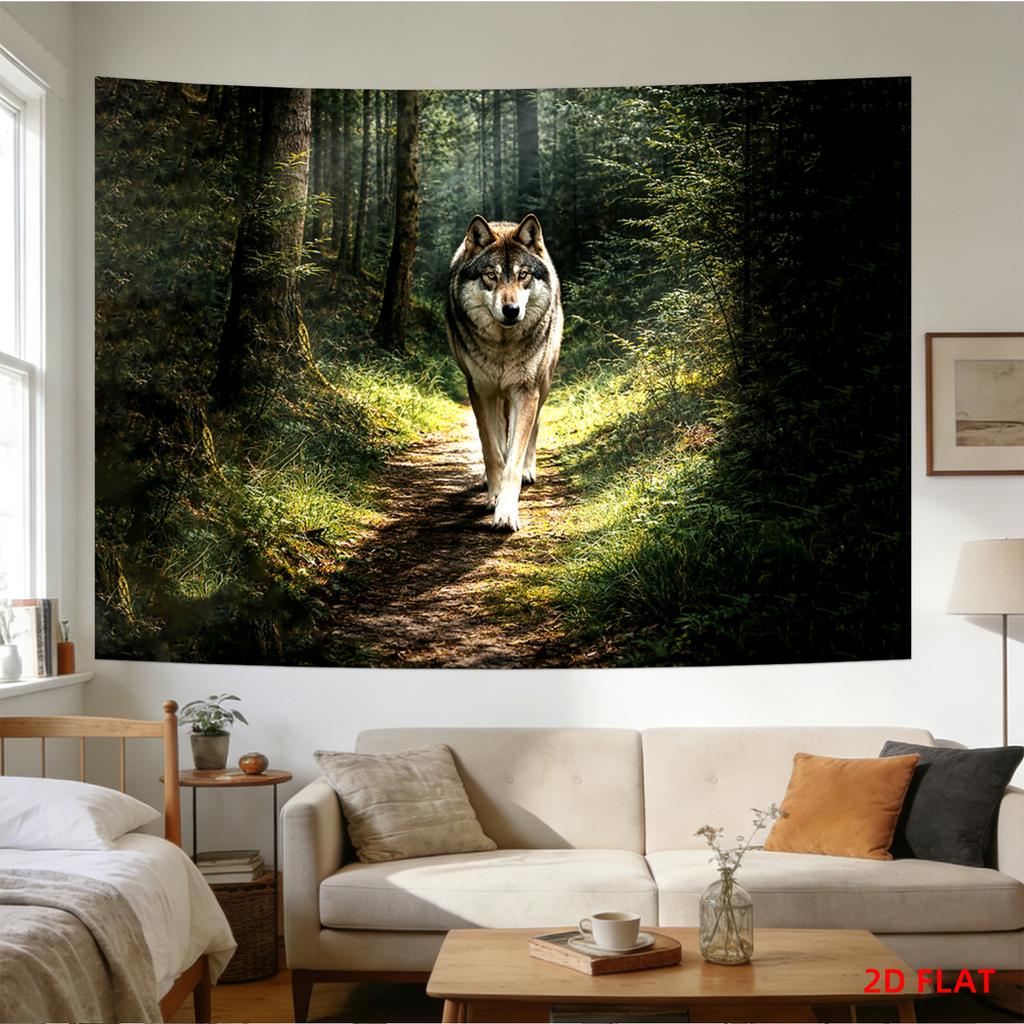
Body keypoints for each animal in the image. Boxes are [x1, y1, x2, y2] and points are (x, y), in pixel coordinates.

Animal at [446, 213, 563, 532]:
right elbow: (492, 451)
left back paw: (528, 470)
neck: (502, 346)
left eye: (523, 275)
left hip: (542, 385)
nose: (511, 310)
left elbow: (513, 458)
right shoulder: (480, 390)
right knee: (499, 435)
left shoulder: (525, 391)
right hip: (498, 395)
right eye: (491, 275)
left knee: (533, 427)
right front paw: (495, 496)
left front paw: (507, 513)